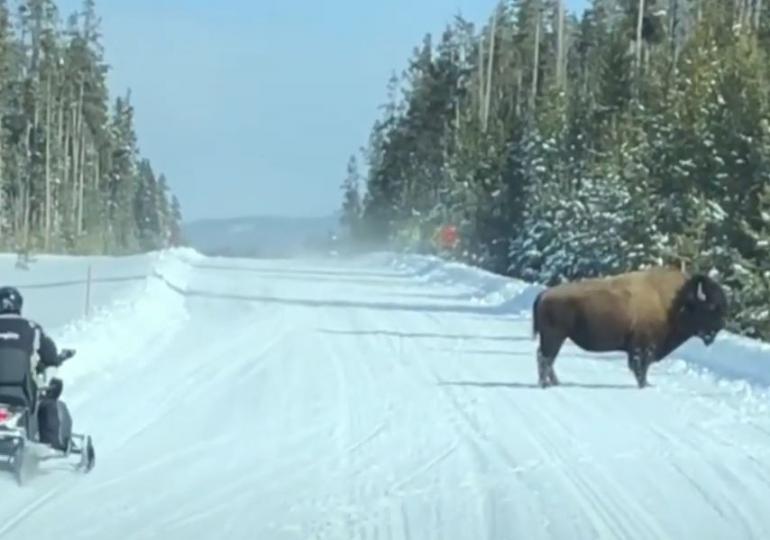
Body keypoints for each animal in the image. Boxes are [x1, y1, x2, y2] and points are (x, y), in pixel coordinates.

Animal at [531, 267, 728, 388]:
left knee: (546, 358)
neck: (675, 304)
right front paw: (644, 385)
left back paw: (554, 383)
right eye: (711, 307)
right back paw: (546, 385)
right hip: (554, 337)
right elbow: (641, 366)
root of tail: (544, 294)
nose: (720, 326)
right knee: (546, 358)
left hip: (554, 338)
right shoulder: (643, 347)